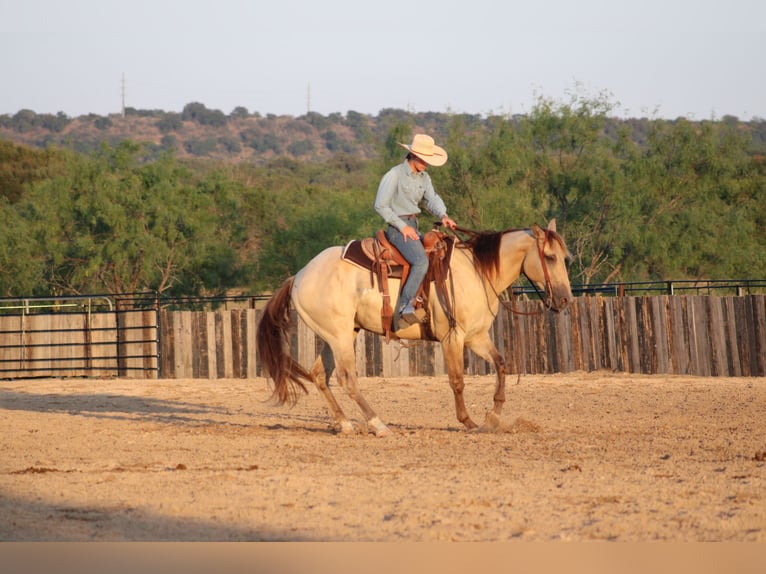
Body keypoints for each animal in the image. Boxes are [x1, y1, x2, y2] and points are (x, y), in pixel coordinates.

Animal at [256, 219, 573, 436]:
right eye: (549, 257)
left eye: (564, 257)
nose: (565, 299)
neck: (477, 272)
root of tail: (298, 276)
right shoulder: (452, 337)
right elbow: (457, 380)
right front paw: (468, 421)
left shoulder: (476, 337)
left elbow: (501, 364)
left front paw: (493, 415)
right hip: (340, 337)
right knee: (347, 379)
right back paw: (378, 424)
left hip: (337, 336)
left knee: (320, 375)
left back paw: (344, 424)